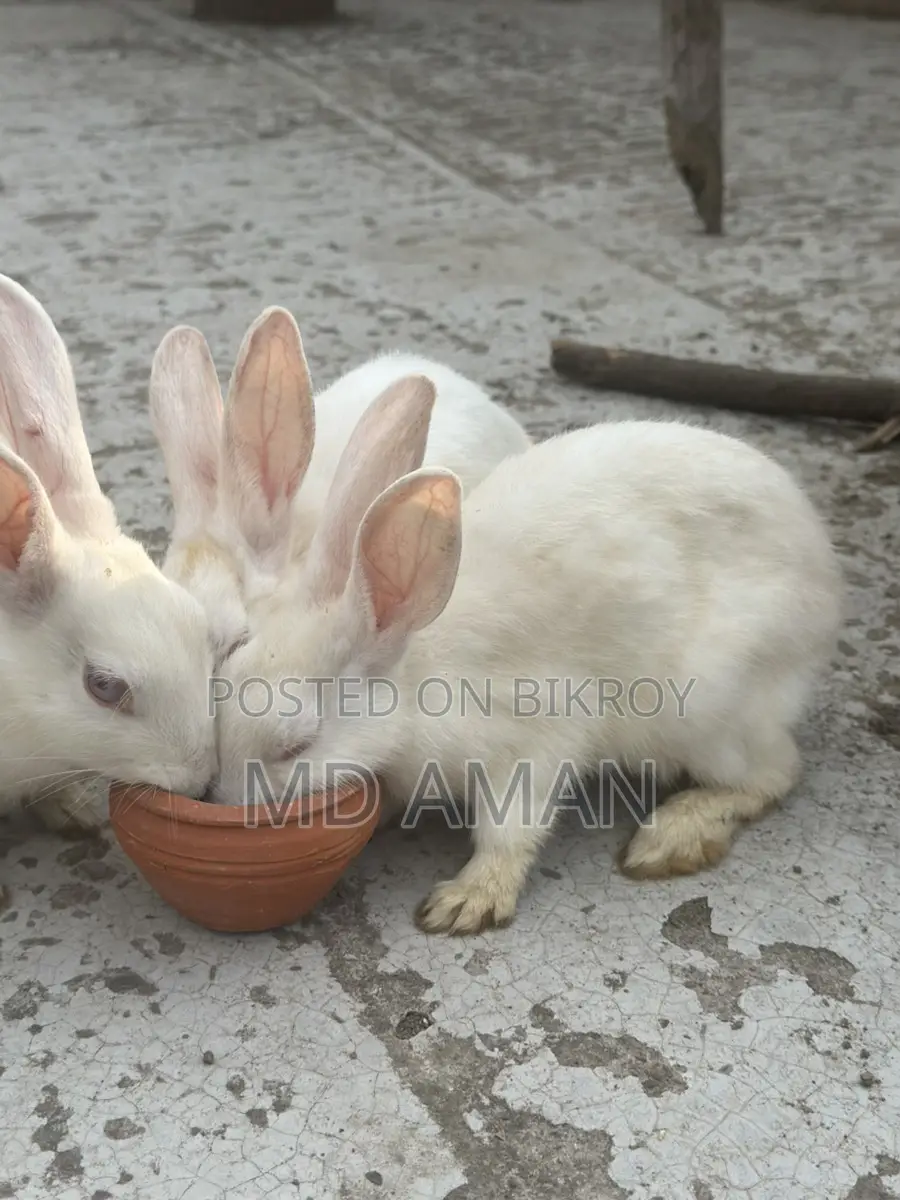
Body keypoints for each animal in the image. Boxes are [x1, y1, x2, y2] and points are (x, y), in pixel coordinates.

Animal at [212, 403, 842, 936]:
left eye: (297, 747)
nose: (222, 801)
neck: (413, 677)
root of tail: (824, 583)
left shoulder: (534, 739)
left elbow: (510, 829)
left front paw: (466, 903)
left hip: (712, 713)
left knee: (773, 775)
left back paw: (671, 838)